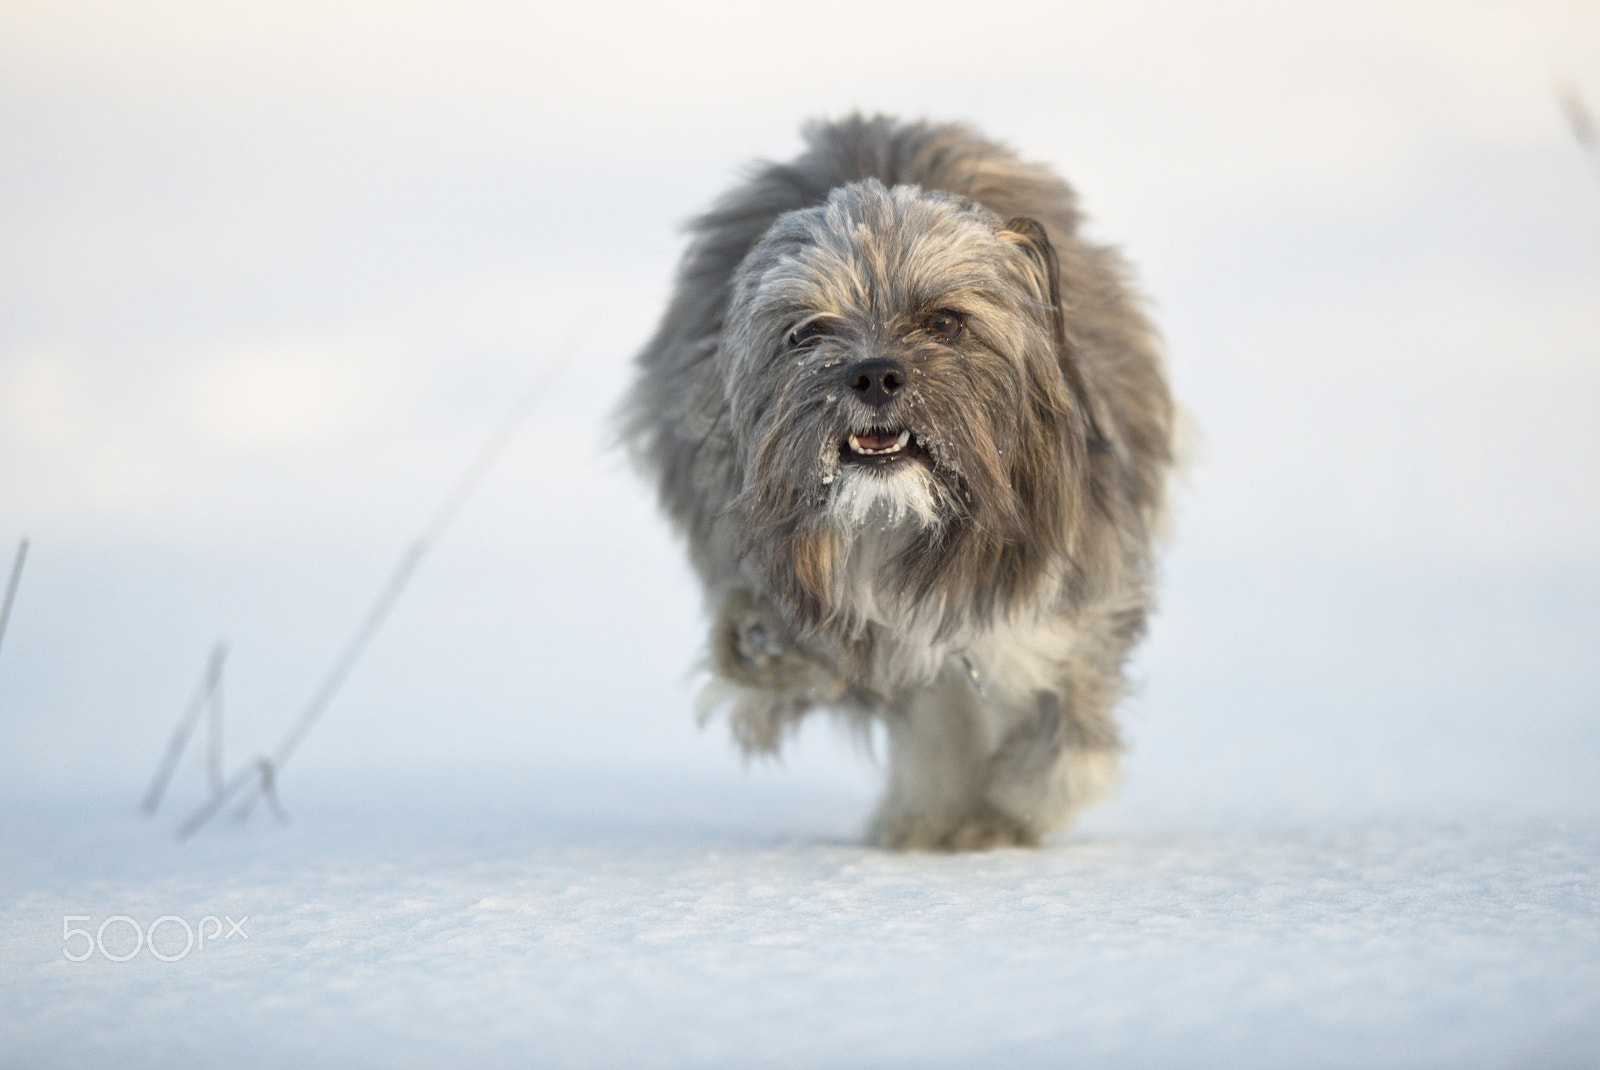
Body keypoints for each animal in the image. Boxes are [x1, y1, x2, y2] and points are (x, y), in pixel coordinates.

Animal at [617, 115, 1171, 850]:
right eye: (808, 331)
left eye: (944, 321)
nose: (875, 375)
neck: (898, 520)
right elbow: (923, 709)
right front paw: (937, 817)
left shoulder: (1077, 593)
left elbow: (1067, 739)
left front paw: (1011, 807)